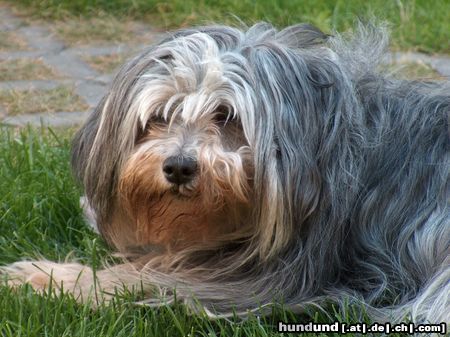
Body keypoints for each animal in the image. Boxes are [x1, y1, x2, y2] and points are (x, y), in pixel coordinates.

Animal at [1, 22, 448, 324]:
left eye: (226, 115)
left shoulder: (269, 281)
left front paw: (46, 277)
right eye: (161, 115)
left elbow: (141, 275)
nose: (179, 167)